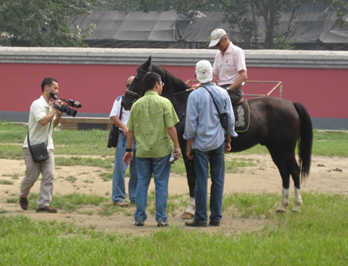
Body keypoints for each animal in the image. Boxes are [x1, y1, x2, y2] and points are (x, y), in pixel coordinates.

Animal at [122, 56, 312, 216]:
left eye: (138, 78)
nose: (125, 101)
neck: (185, 104)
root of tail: (291, 104)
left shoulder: (187, 150)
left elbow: (192, 179)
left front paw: (190, 209)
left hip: (286, 149)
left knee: (294, 171)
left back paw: (296, 205)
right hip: (275, 148)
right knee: (284, 172)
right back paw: (282, 206)